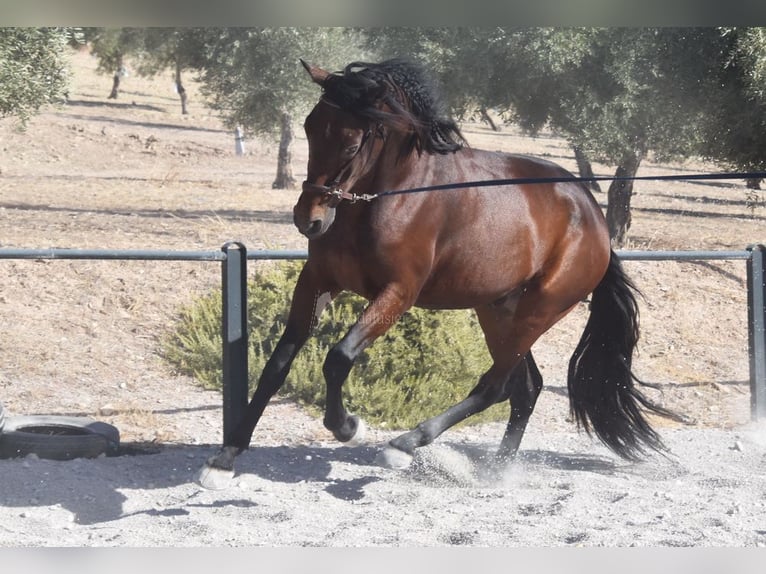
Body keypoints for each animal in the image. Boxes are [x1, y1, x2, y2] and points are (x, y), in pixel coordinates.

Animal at [198, 58, 678, 488]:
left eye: (352, 144)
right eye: (310, 127)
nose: (309, 220)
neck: (385, 197)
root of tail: (594, 218)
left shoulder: (398, 292)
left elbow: (338, 358)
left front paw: (349, 426)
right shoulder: (318, 281)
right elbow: (277, 364)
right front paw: (224, 461)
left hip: (540, 311)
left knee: (496, 386)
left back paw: (405, 445)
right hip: (498, 309)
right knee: (526, 388)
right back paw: (494, 473)